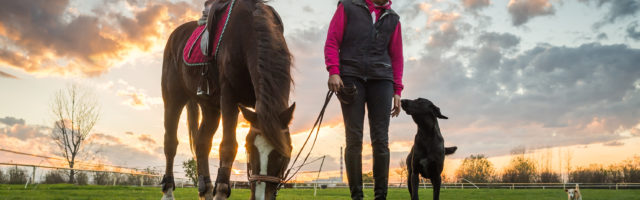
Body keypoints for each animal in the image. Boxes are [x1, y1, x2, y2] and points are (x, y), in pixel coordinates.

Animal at [162, 0, 296, 199]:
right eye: (249, 148)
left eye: (284, 153)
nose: (260, 196)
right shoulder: (229, 98)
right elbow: (228, 146)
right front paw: (221, 191)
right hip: (173, 98)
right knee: (170, 142)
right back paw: (168, 191)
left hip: (210, 108)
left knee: (202, 143)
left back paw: (206, 191)